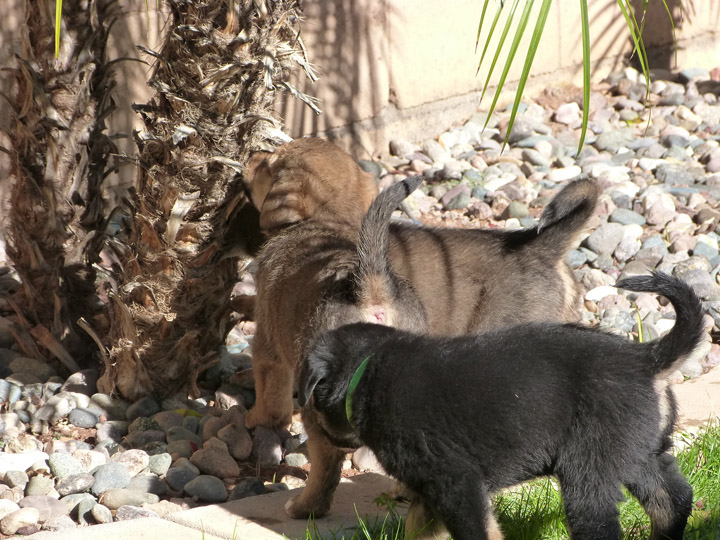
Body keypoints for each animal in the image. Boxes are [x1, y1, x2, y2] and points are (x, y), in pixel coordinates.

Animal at [300, 274, 704, 540]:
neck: (367, 372)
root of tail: (646, 359)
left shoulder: (455, 481)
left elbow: (476, 531)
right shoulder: (431, 491)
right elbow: (422, 530)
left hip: (588, 468)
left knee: (601, 523)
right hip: (642, 452)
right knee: (673, 500)